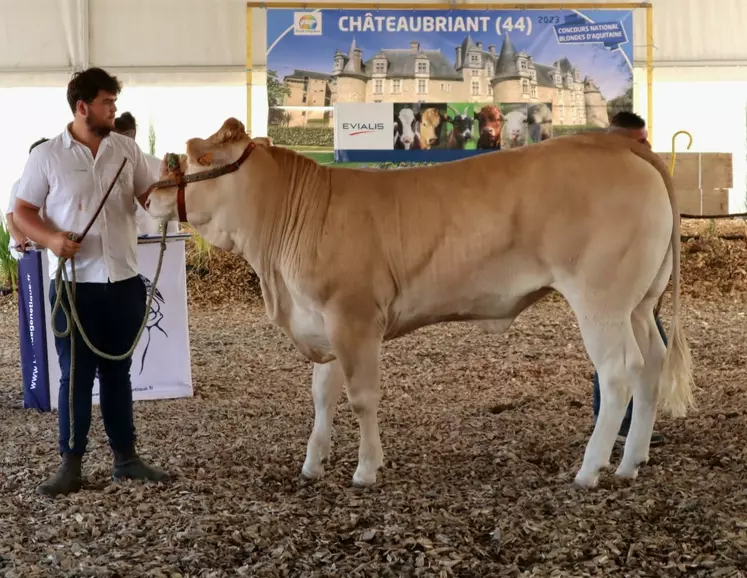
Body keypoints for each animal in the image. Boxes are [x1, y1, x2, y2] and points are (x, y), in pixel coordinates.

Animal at [145, 117, 696, 490]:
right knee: (651, 363)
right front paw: (312, 463)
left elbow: (361, 397)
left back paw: (590, 468)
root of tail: (612, 144)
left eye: (198, 158)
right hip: (639, 302)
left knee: (619, 371)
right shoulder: (321, 318)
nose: (147, 195)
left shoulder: (354, 316)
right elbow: (322, 394)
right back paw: (631, 462)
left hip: (601, 297)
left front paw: (366, 469)